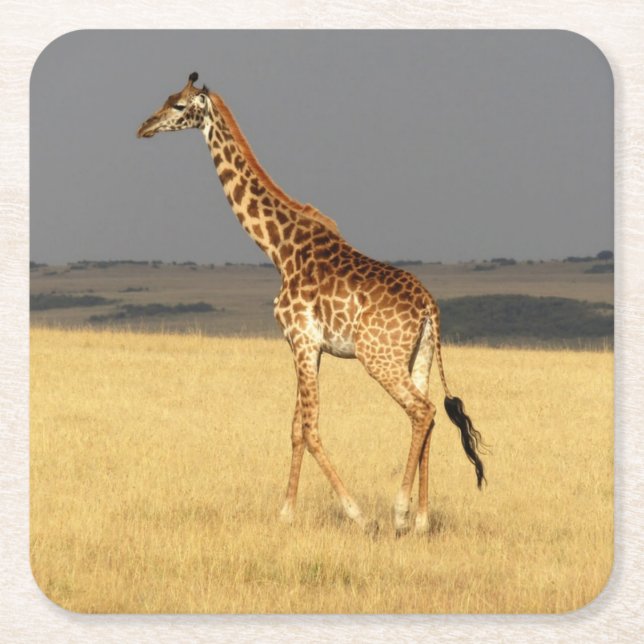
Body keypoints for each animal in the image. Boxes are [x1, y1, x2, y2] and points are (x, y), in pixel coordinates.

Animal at [137, 72, 486, 536]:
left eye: (179, 105)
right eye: (166, 98)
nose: (144, 127)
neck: (279, 248)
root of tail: (430, 308)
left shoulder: (301, 339)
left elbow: (310, 426)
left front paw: (357, 514)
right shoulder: (306, 346)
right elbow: (295, 428)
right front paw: (285, 512)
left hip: (379, 357)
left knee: (422, 410)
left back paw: (397, 513)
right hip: (420, 357)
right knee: (427, 418)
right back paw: (422, 521)